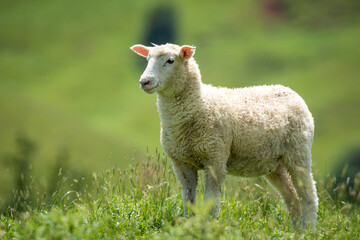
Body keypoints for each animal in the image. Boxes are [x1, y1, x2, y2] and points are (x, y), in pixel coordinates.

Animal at [129, 42, 318, 229]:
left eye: (170, 60)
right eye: (147, 59)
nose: (144, 81)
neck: (199, 104)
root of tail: (289, 90)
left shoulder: (215, 159)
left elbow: (211, 201)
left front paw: (209, 227)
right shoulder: (181, 163)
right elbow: (188, 200)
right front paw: (190, 225)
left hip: (298, 151)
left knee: (309, 195)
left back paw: (309, 229)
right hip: (274, 163)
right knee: (292, 197)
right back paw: (297, 231)